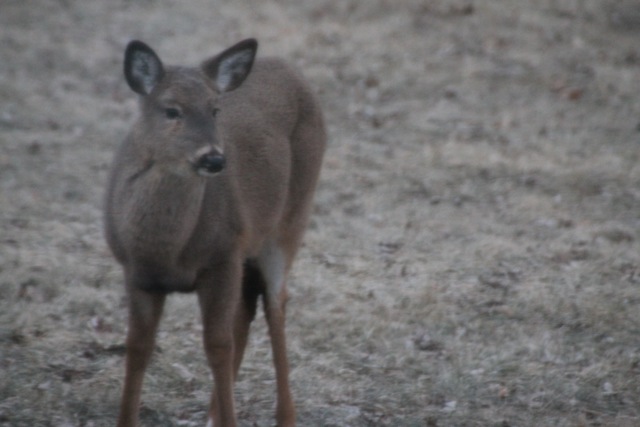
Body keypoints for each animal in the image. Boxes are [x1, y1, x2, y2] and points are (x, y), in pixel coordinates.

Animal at [104, 38, 326, 427]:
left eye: (216, 110)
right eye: (171, 110)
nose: (214, 159)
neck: (166, 252)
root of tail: (291, 70)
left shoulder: (223, 255)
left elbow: (218, 345)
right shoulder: (136, 273)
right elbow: (138, 347)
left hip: (291, 217)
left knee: (275, 304)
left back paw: (284, 415)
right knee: (248, 306)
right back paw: (212, 413)